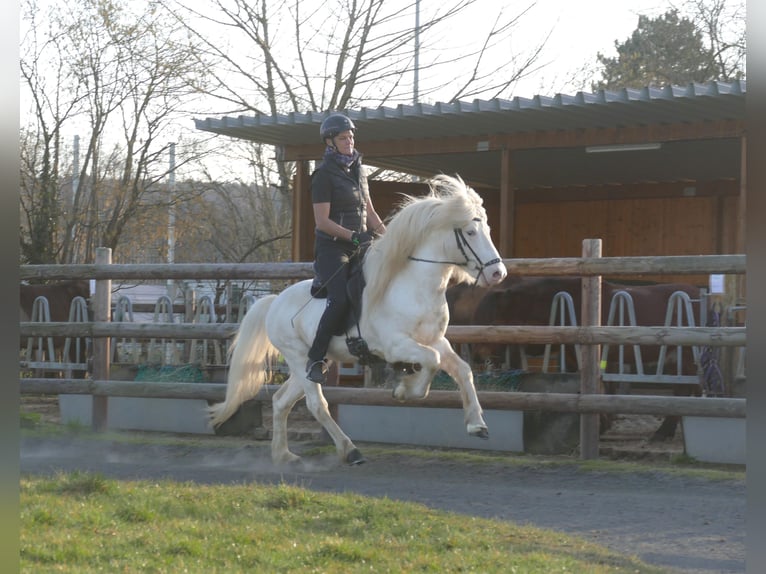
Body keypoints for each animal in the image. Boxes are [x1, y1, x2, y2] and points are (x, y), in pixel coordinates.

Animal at [209, 175, 508, 466]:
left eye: (488, 229)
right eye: (470, 232)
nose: (498, 273)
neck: (413, 287)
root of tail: (274, 302)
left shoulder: (435, 341)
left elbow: (463, 370)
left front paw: (477, 425)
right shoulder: (396, 346)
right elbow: (431, 363)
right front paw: (404, 390)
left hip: (311, 361)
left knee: (282, 401)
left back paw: (283, 455)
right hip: (296, 356)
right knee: (317, 405)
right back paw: (349, 451)